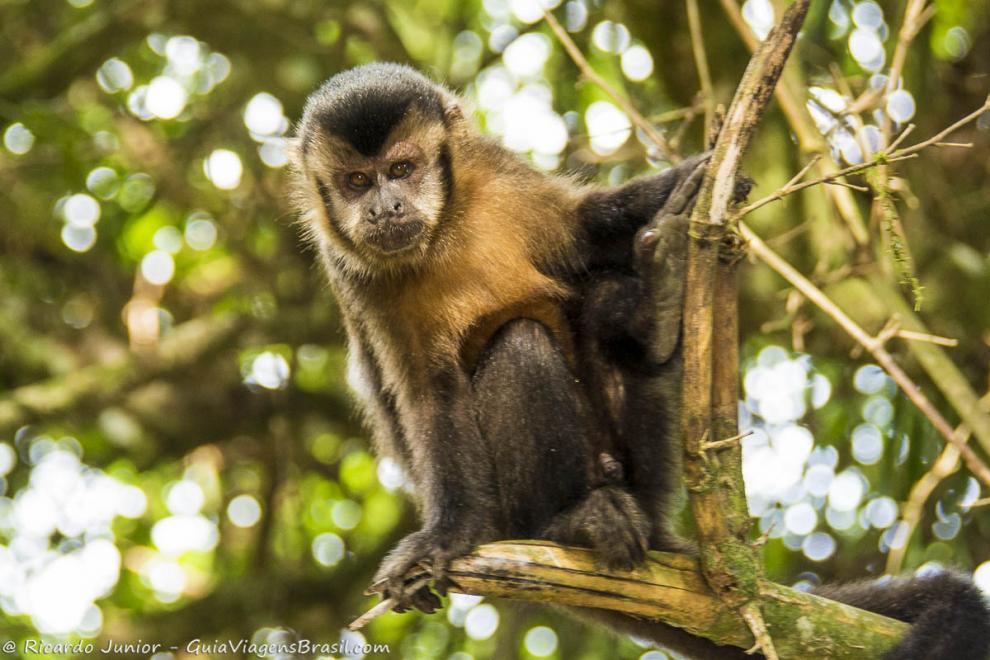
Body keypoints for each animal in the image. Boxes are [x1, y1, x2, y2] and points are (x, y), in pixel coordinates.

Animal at [290, 63, 990, 660]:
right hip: (510, 516)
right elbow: (430, 398)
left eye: (403, 168)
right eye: (357, 182)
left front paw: (700, 175)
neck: (442, 232)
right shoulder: (356, 275)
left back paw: (655, 312)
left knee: (600, 301)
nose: (384, 208)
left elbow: (586, 229)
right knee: (521, 344)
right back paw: (570, 522)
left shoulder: (492, 171)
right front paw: (444, 536)